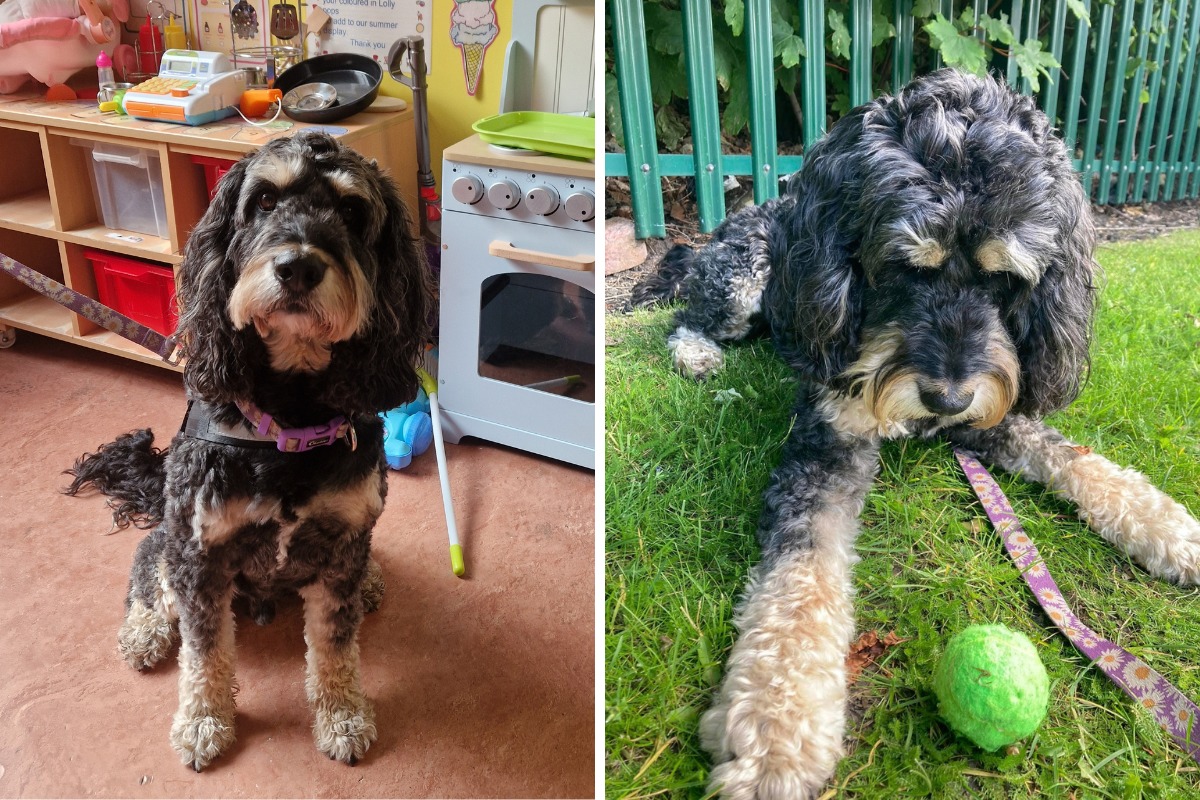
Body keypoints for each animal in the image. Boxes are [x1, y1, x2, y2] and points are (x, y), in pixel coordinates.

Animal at [65, 130, 432, 767]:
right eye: (263, 200)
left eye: (352, 212)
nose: (298, 267)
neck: (287, 424)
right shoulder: (199, 550)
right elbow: (206, 653)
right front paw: (203, 721)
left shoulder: (341, 544)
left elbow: (335, 646)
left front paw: (341, 715)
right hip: (170, 536)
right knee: (147, 569)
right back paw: (144, 632)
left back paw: (373, 580)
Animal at [633, 70, 1200, 800]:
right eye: (906, 269)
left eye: (1005, 278)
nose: (947, 399)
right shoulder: (828, 439)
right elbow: (800, 573)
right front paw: (777, 731)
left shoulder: (993, 411)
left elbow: (1076, 457)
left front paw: (1170, 527)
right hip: (742, 281)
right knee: (687, 317)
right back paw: (697, 355)